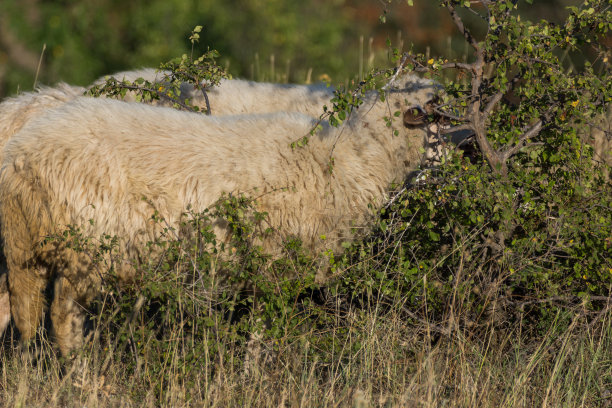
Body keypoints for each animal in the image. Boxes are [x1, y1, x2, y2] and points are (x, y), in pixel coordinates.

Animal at [0, 75, 440, 356]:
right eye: (436, 109)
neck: (347, 159)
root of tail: (20, 154)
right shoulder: (274, 266)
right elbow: (264, 330)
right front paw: (256, 371)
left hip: (20, 247)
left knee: (11, 308)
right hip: (83, 250)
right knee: (62, 318)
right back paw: (79, 373)